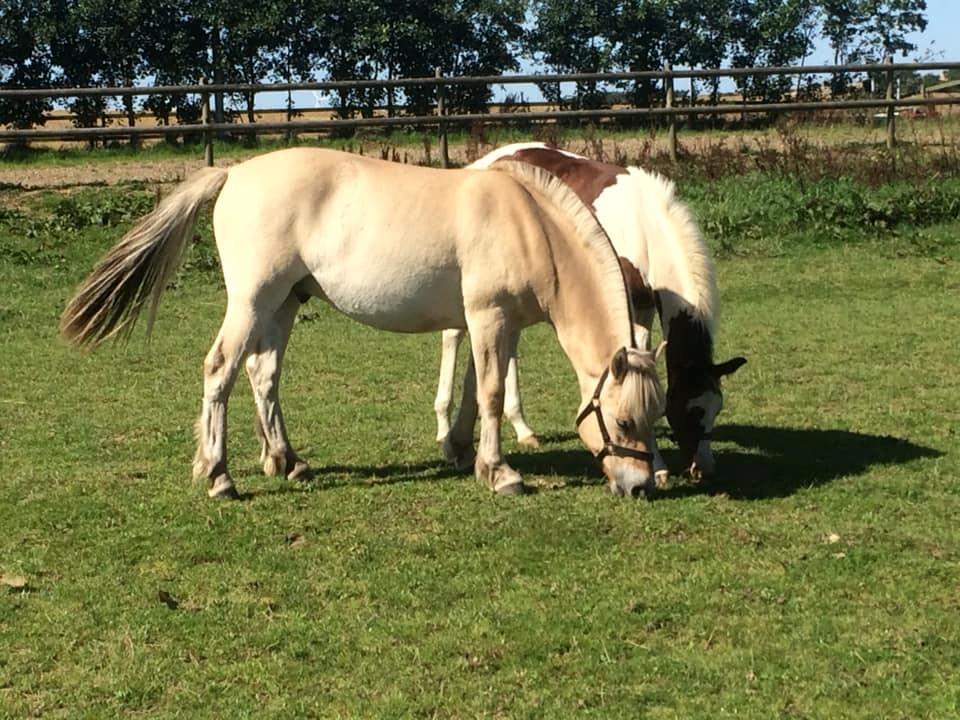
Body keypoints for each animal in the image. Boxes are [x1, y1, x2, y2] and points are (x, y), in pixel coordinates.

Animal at [58, 147, 660, 500]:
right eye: (624, 421)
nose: (640, 487)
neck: (531, 224)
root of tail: (233, 174)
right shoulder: (489, 318)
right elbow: (490, 392)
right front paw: (502, 474)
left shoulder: (492, 324)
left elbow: (473, 392)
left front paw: (465, 453)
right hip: (253, 300)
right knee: (221, 370)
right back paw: (219, 476)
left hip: (283, 304)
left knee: (263, 375)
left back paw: (287, 461)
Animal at [436, 143, 752, 480]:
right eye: (690, 409)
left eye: (718, 407)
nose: (703, 468)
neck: (644, 228)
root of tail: (485, 162)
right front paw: (657, 465)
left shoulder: (643, 309)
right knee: (453, 335)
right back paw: (445, 433)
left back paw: (522, 428)